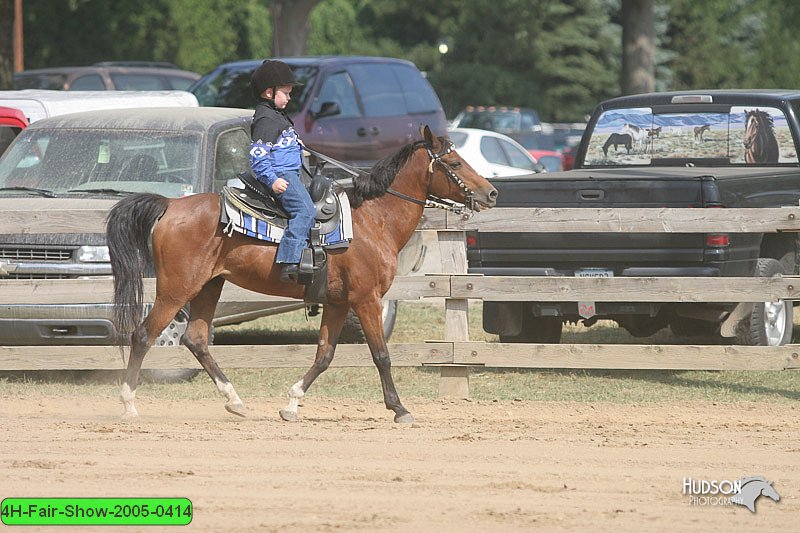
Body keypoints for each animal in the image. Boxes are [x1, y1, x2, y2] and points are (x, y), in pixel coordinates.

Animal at [104, 125, 496, 424]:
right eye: (455, 162)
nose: (491, 193)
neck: (373, 221)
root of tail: (170, 206)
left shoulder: (338, 303)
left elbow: (325, 354)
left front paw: (292, 403)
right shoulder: (366, 299)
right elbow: (381, 355)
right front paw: (399, 409)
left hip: (208, 286)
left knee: (196, 339)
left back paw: (235, 401)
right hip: (176, 289)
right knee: (143, 335)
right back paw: (129, 406)